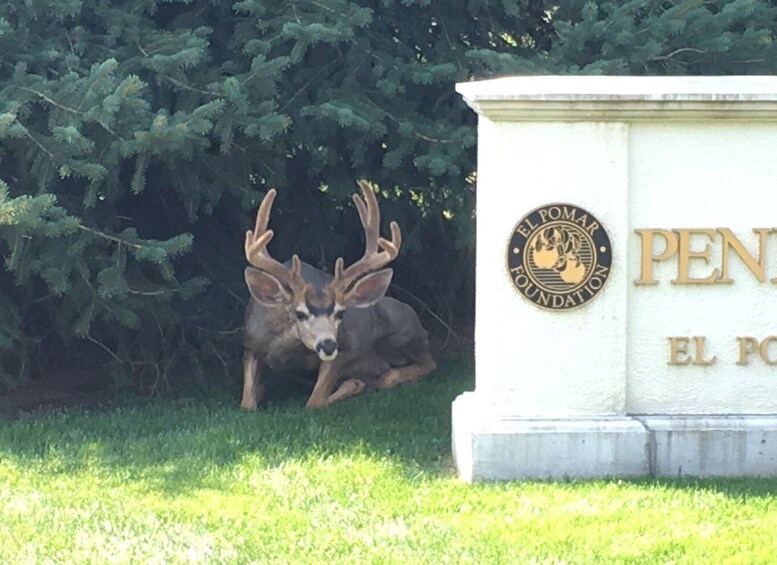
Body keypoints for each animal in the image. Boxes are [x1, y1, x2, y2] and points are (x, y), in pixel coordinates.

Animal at [241, 178, 436, 408]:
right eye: (299, 313)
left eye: (341, 313)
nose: (328, 345)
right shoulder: (250, 343)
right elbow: (247, 403)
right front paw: (258, 392)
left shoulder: (343, 351)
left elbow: (315, 400)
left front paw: (354, 384)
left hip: (404, 331)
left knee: (427, 363)